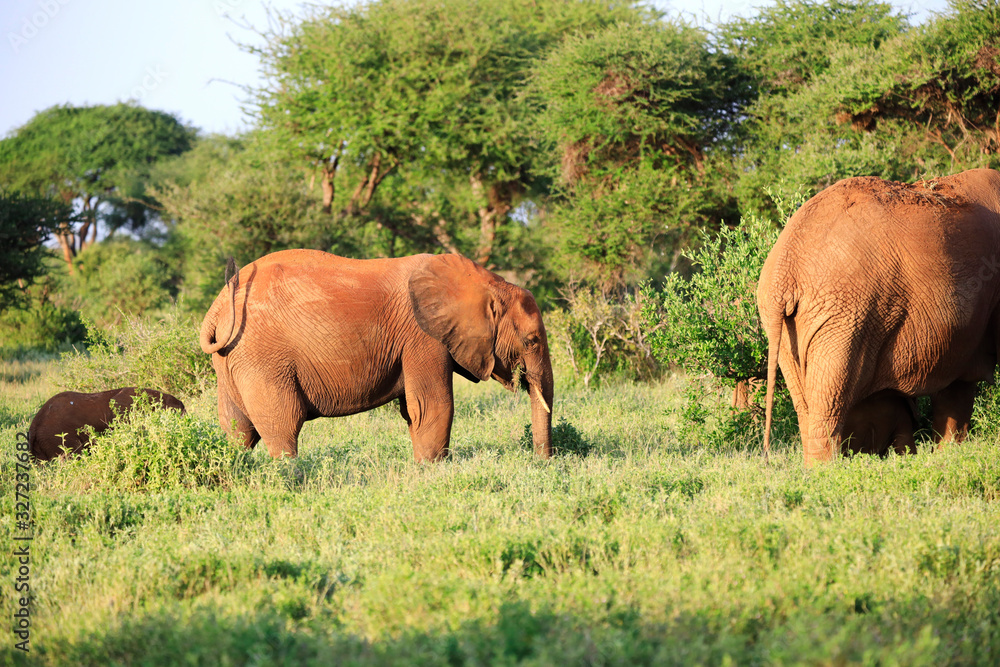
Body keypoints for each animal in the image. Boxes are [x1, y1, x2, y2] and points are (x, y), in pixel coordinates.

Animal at [199, 250, 554, 460]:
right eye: (531, 341)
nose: (542, 462)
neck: (485, 282)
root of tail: (216, 309)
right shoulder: (423, 338)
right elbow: (433, 406)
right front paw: (432, 471)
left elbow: (415, 412)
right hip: (264, 359)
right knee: (281, 425)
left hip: (233, 362)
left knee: (238, 430)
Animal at [758, 168, 1000, 464]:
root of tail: (785, 268)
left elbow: (956, 386)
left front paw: (948, 458)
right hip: (846, 312)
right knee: (828, 402)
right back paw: (826, 471)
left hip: (787, 328)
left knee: (806, 407)